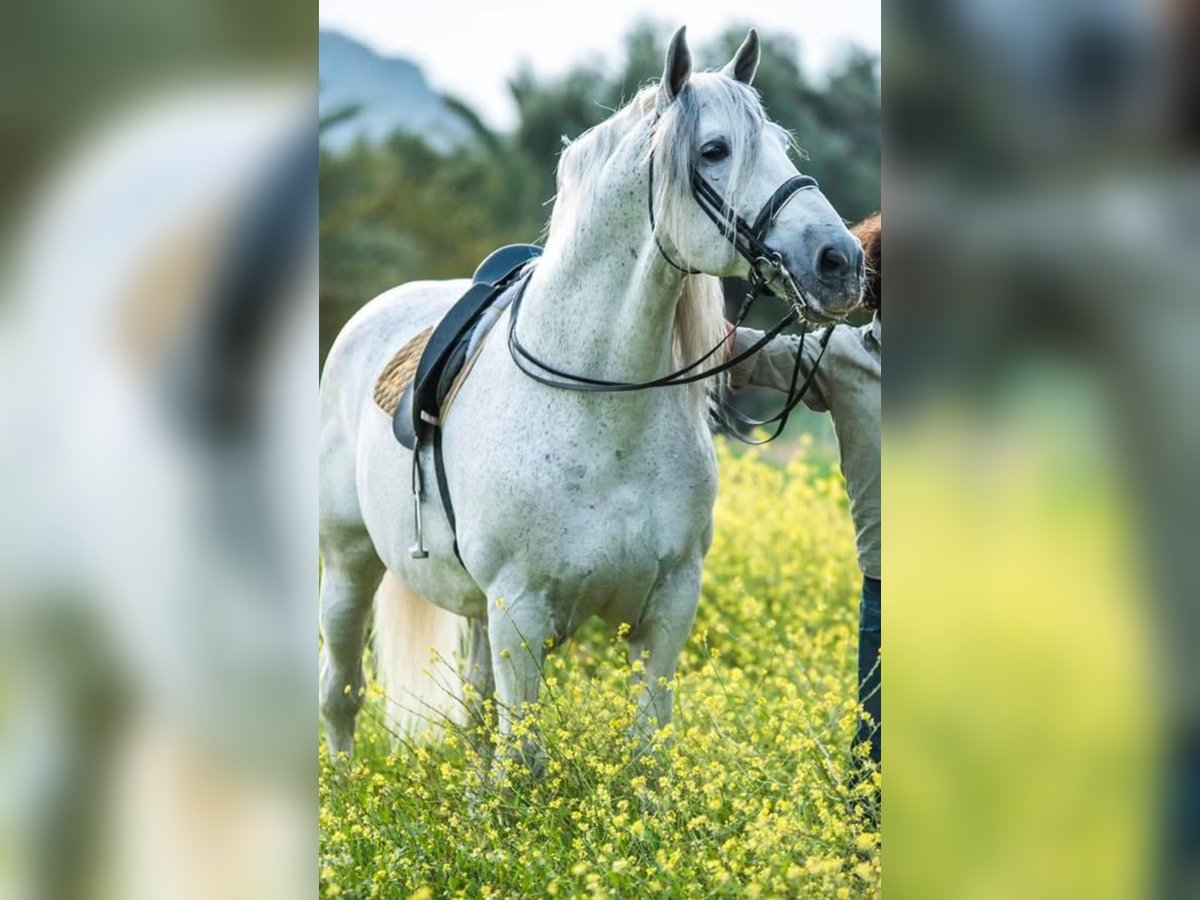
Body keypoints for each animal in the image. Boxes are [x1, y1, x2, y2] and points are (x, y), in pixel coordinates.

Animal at [319, 26, 864, 763]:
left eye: (780, 143)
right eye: (714, 150)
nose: (842, 262)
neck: (604, 412)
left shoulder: (667, 609)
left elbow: (646, 749)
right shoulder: (521, 612)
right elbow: (523, 757)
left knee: (472, 708)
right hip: (348, 565)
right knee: (341, 694)